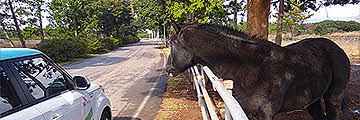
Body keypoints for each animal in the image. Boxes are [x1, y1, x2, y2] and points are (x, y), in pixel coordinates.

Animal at [167, 21, 350, 120]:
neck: (250, 67)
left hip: (333, 97)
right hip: (313, 100)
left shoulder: (265, 114)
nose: (169, 68)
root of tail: (339, 49)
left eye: (172, 43)